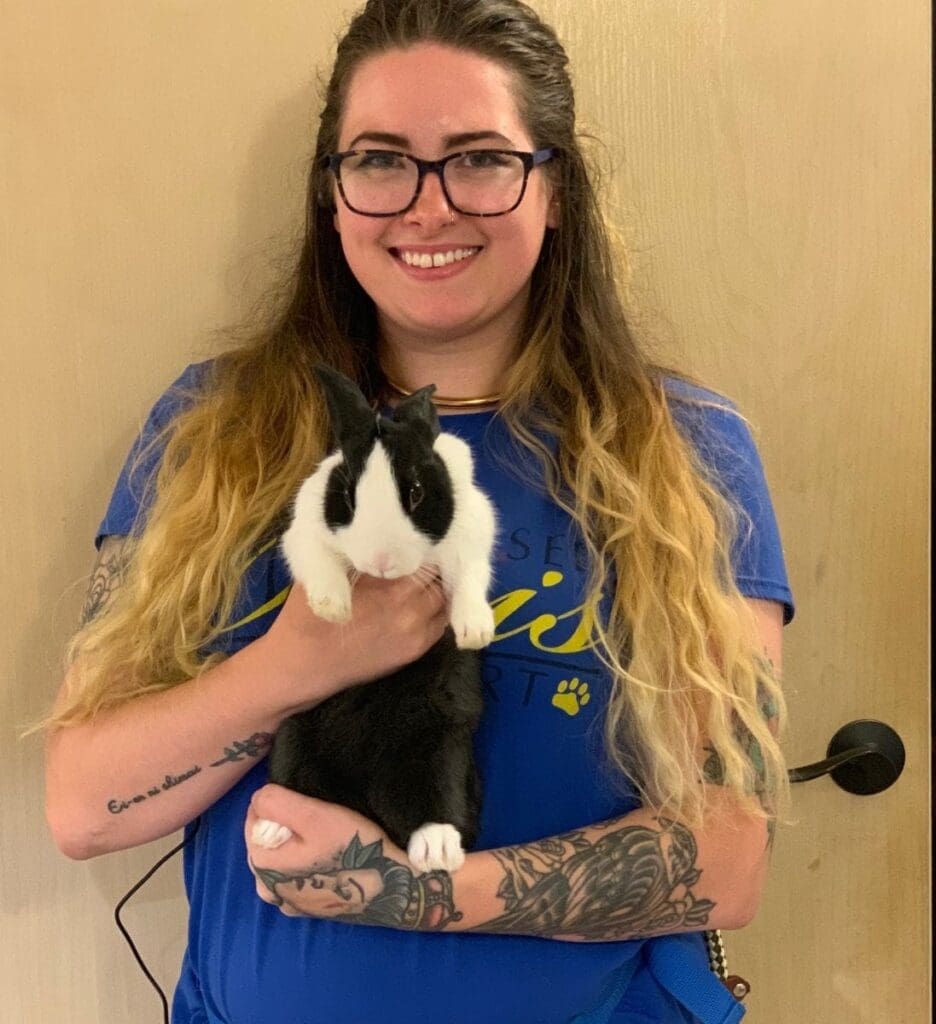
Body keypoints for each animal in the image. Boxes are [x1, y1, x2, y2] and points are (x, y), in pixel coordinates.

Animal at [251, 364, 496, 874]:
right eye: (346, 494)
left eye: (416, 492)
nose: (383, 562)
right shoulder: (304, 534)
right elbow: (318, 561)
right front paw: (333, 608)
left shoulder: (473, 533)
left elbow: (470, 576)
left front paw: (474, 630)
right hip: (296, 736)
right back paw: (271, 828)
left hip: (440, 743)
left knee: (434, 799)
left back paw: (438, 849)